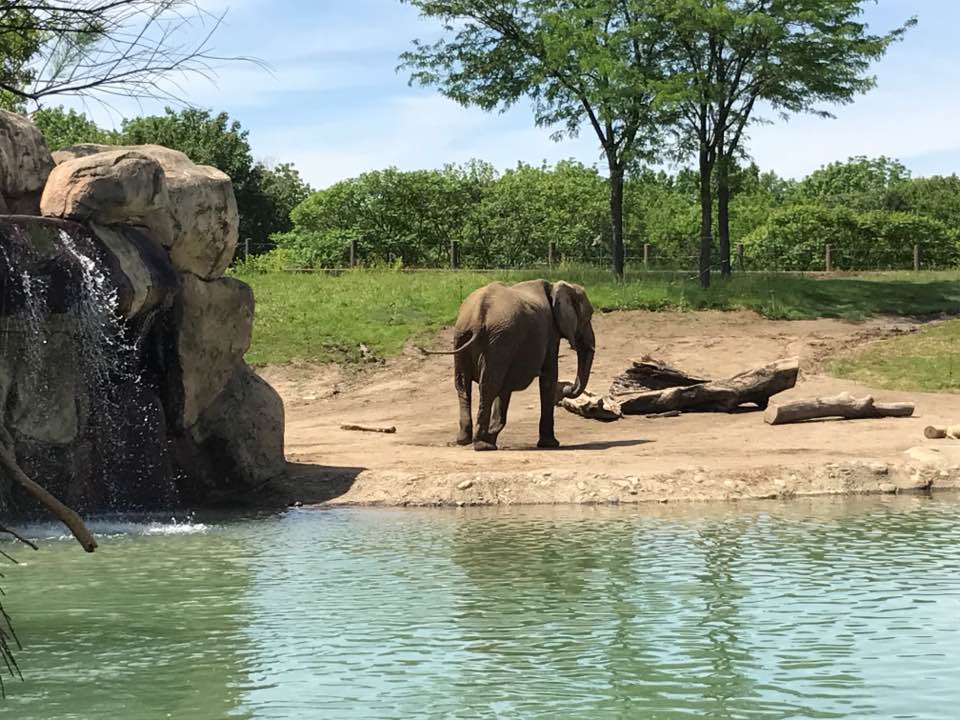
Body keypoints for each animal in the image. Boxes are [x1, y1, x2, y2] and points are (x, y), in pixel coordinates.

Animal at [441, 279, 595, 451]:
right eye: (589, 316)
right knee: (489, 386)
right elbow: (549, 376)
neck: (554, 287)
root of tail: (478, 315)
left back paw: (465, 440)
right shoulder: (549, 333)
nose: (565, 389)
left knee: (463, 384)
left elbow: (506, 387)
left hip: (464, 336)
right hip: (498, 341)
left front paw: (492, 434)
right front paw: (551, 444)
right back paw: (482, 445)